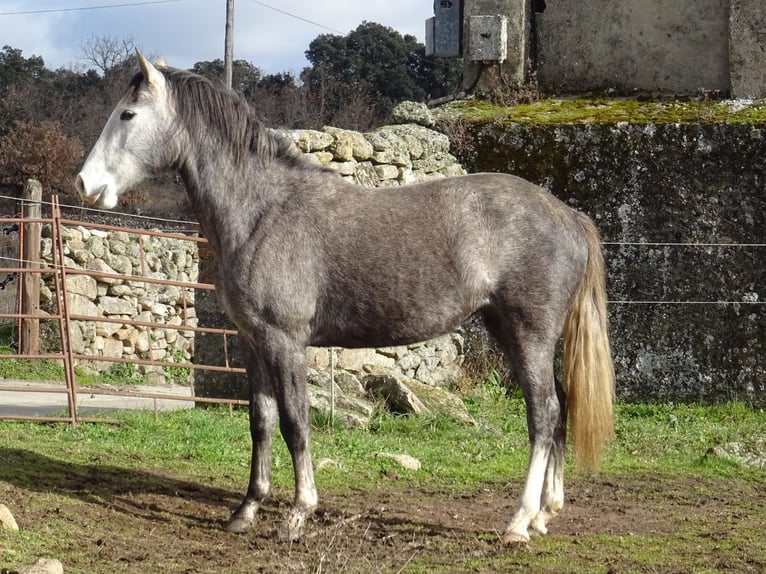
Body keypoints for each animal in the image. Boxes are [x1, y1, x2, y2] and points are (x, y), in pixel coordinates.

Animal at [75, 50, 614, 545]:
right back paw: (545, 513)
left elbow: (295, 423)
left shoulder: (285, 342)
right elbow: (260, 423)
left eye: (128, 114)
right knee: (559, 409)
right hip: (511, 331)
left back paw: (519, 522)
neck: (262, 211)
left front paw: (298, 515)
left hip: (529, 334)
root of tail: (568, 214)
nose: (85, 183)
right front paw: (246, 511)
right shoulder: (253, 344)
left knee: (544, 415)